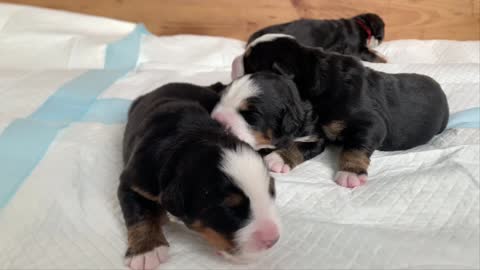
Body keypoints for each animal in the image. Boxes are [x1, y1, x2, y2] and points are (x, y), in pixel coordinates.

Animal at [117, 83, 280, 268]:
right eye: (230, 209)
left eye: (272, 191)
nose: (273, 239)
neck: (188, 137)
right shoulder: (135, 179)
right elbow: (139, 211)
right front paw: (147, 250)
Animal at [216, 34, 448, 188]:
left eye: (248, 62)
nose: (233, 61)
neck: (317, 77)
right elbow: (299, 145)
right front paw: (279, 158)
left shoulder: (370, 123)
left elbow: (355, 147)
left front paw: (350, 172)